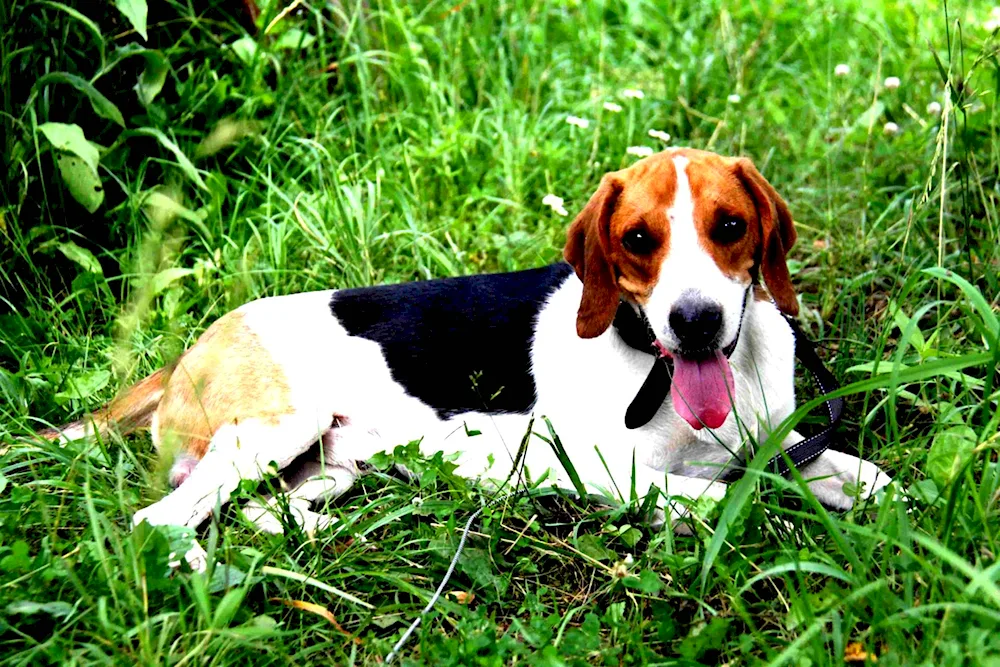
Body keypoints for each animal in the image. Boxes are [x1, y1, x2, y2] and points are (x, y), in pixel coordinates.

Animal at [43, 150, 896, 568]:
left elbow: (864, 476)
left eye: (729, 225)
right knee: (157, 520)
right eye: (638, 239)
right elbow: (728, 500)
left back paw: (317, 535)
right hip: (279, 426)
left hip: (329, 460)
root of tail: (192, 348)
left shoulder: (772, 437)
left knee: (256, 509)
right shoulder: (600, 471)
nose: (695, 322)